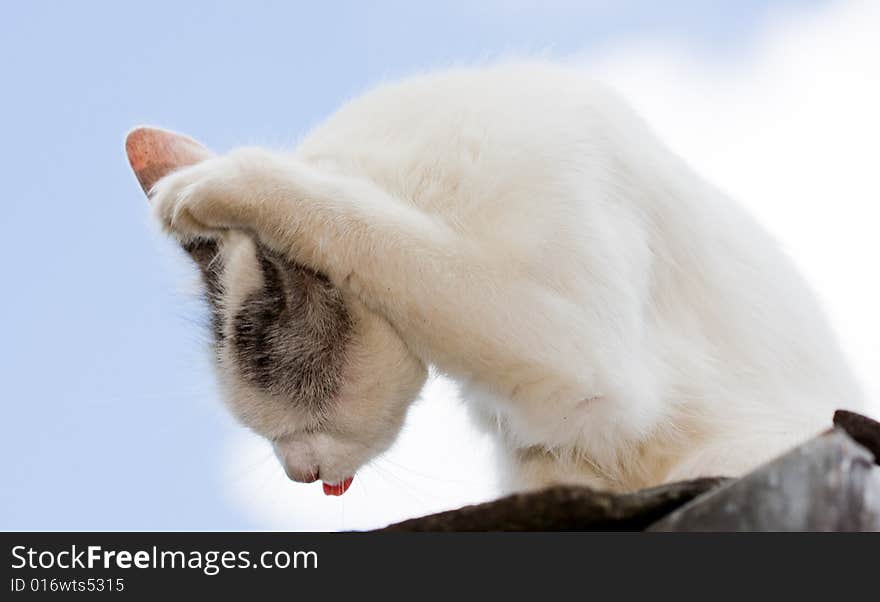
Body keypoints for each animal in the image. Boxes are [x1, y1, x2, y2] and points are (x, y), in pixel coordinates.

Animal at [148, 59, 864, 492]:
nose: (294, 472)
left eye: (290, 412)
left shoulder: (579, 354)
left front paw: (216, 184)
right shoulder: (540, 453)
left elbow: (355, 221)